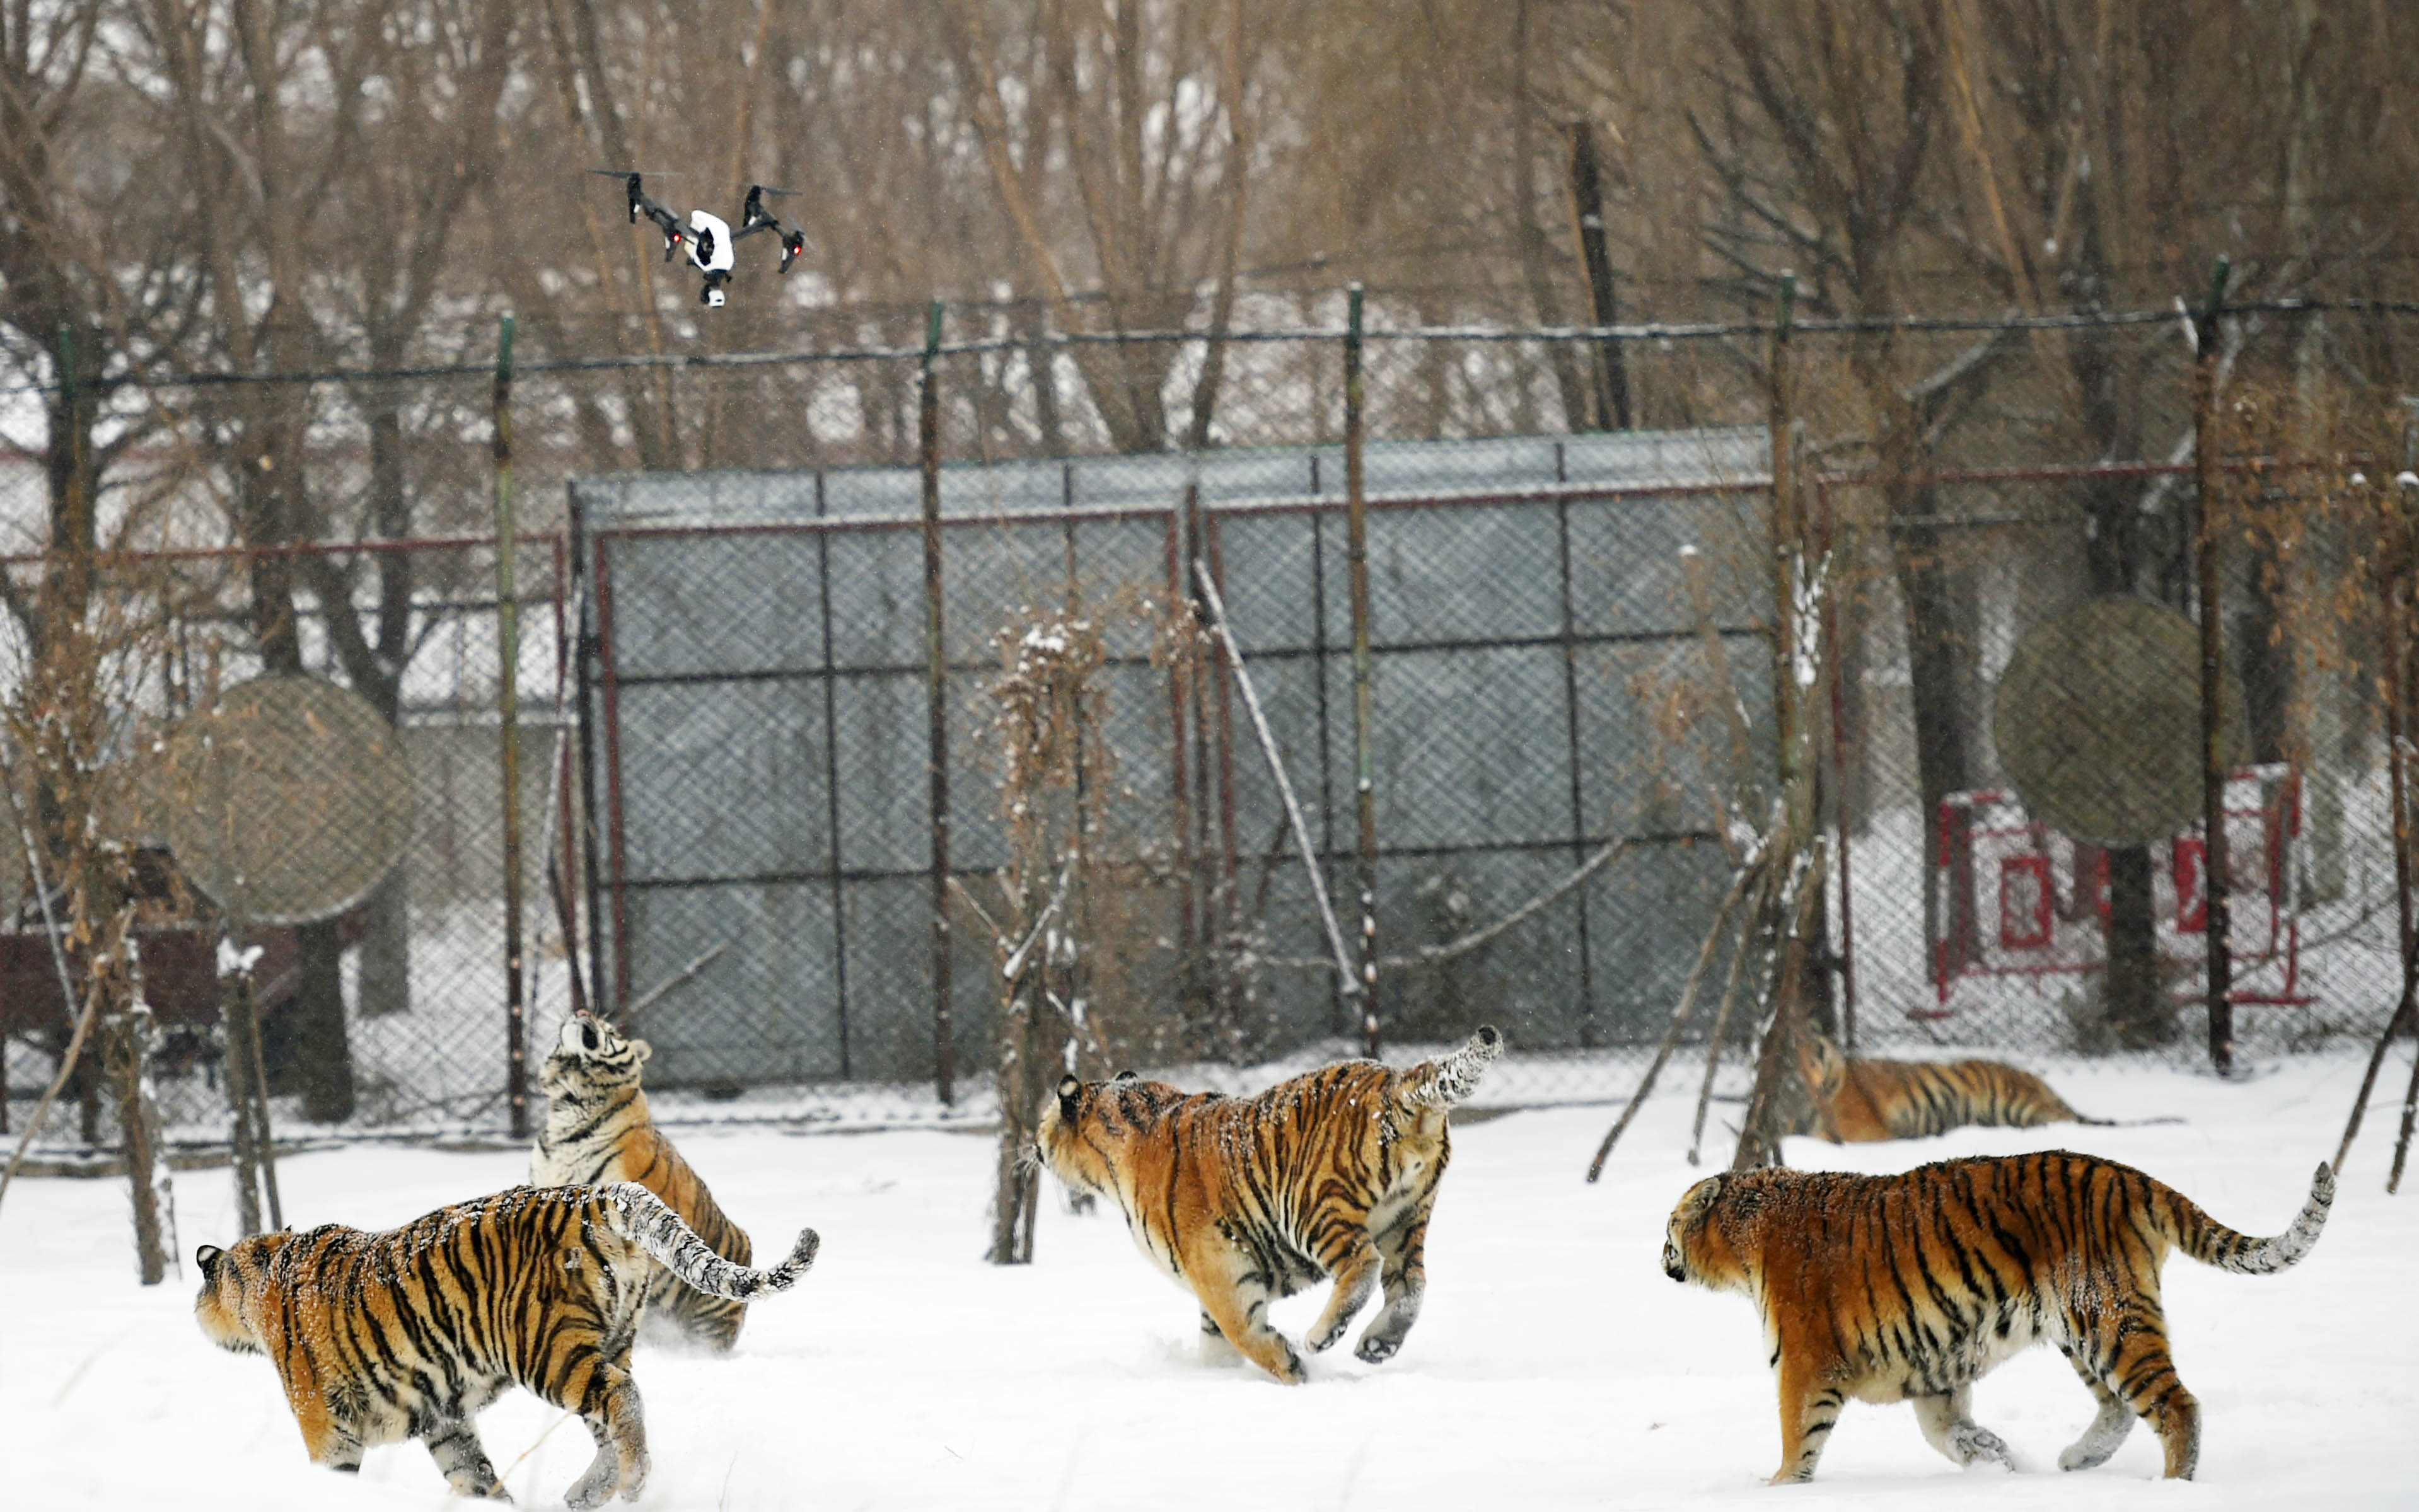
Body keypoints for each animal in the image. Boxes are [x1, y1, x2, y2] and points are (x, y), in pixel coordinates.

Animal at [181, 1185, 822, 1499]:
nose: (195, 1315)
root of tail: (594, 1195)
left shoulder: (325, 1423)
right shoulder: (443, 1418)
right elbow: (474, 1475)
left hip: (546, 1347)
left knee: (621, 1398)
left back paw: (633, 1482)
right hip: (606, 1339)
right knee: (613, 1410)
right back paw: (589, 1491)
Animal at [1035, 1025, 1499, 1383]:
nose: (1034, 1146)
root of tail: (1397, 1078)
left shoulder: (1219, 1271)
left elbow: (1243, 1332)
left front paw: (1291, 1368)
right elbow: (1216, 1342)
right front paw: (1217, 1376)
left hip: (1312, 1205)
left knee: (1363, 1263)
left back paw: (1321, 1336)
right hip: (1405, 1220)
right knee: (1411, 1284)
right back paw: (1377, 1344)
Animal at [1664, 1151, 2322, 1480]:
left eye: (1669, 1224)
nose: (1660, 1257)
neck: (1744, 1232)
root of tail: (2129, 1175)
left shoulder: (1803, 1363)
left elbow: (1797, 1436)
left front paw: (1776, 1490)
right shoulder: (1932, 1360)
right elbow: (1945, 1431)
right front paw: (1996, 1460)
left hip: (2106, 1318)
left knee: (2176, 1405)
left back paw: (2170, 1488)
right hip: (2081, 1328)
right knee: (2118, 1408)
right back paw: (2074, 1461)